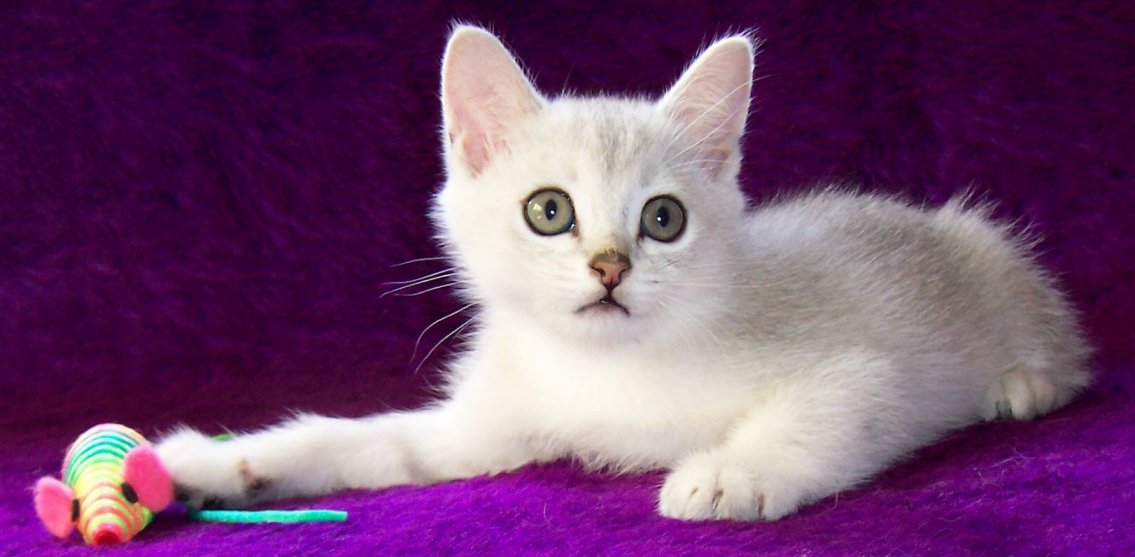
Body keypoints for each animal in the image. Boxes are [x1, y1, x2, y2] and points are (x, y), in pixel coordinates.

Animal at [160, 26, 1089, 524]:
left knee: (1067, 358)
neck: (601, 368)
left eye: (662, 218)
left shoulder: (864, 370)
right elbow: (367, 440)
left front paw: (729, 472)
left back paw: (1024, 384)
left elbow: (826, 412)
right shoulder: (481, 430)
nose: (609, 264)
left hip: (995, 264)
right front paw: (223, 462)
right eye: (548, 210)